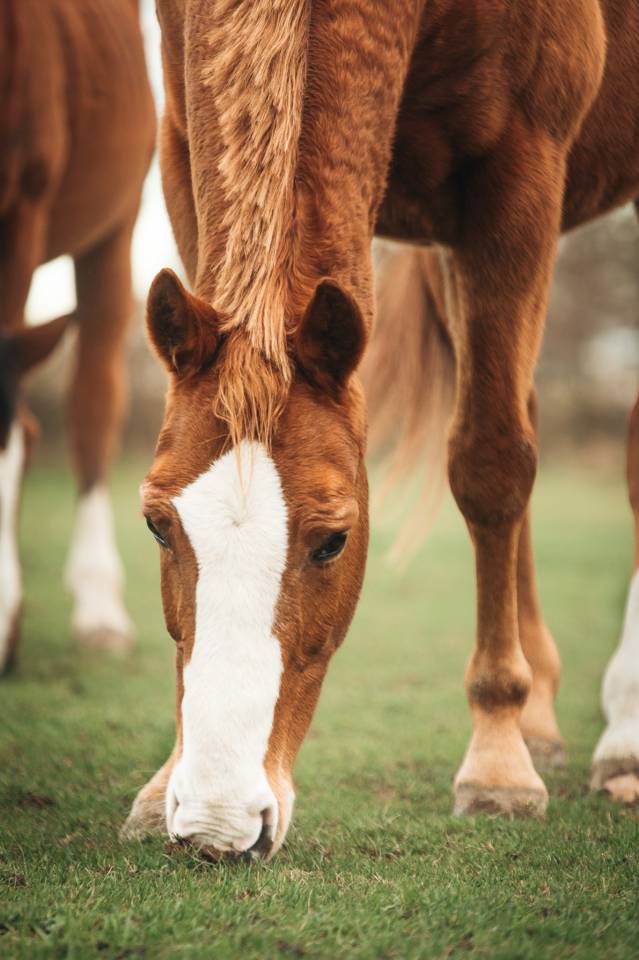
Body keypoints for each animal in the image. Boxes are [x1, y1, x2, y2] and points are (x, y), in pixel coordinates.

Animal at [123, 0, 639, 859]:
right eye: (158, 526)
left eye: (334, 540)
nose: (218, 825)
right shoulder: (180, 144)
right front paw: (163, 782)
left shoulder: (518, 177)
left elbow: (490, 465)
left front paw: (495, 763)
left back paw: (618, 735)